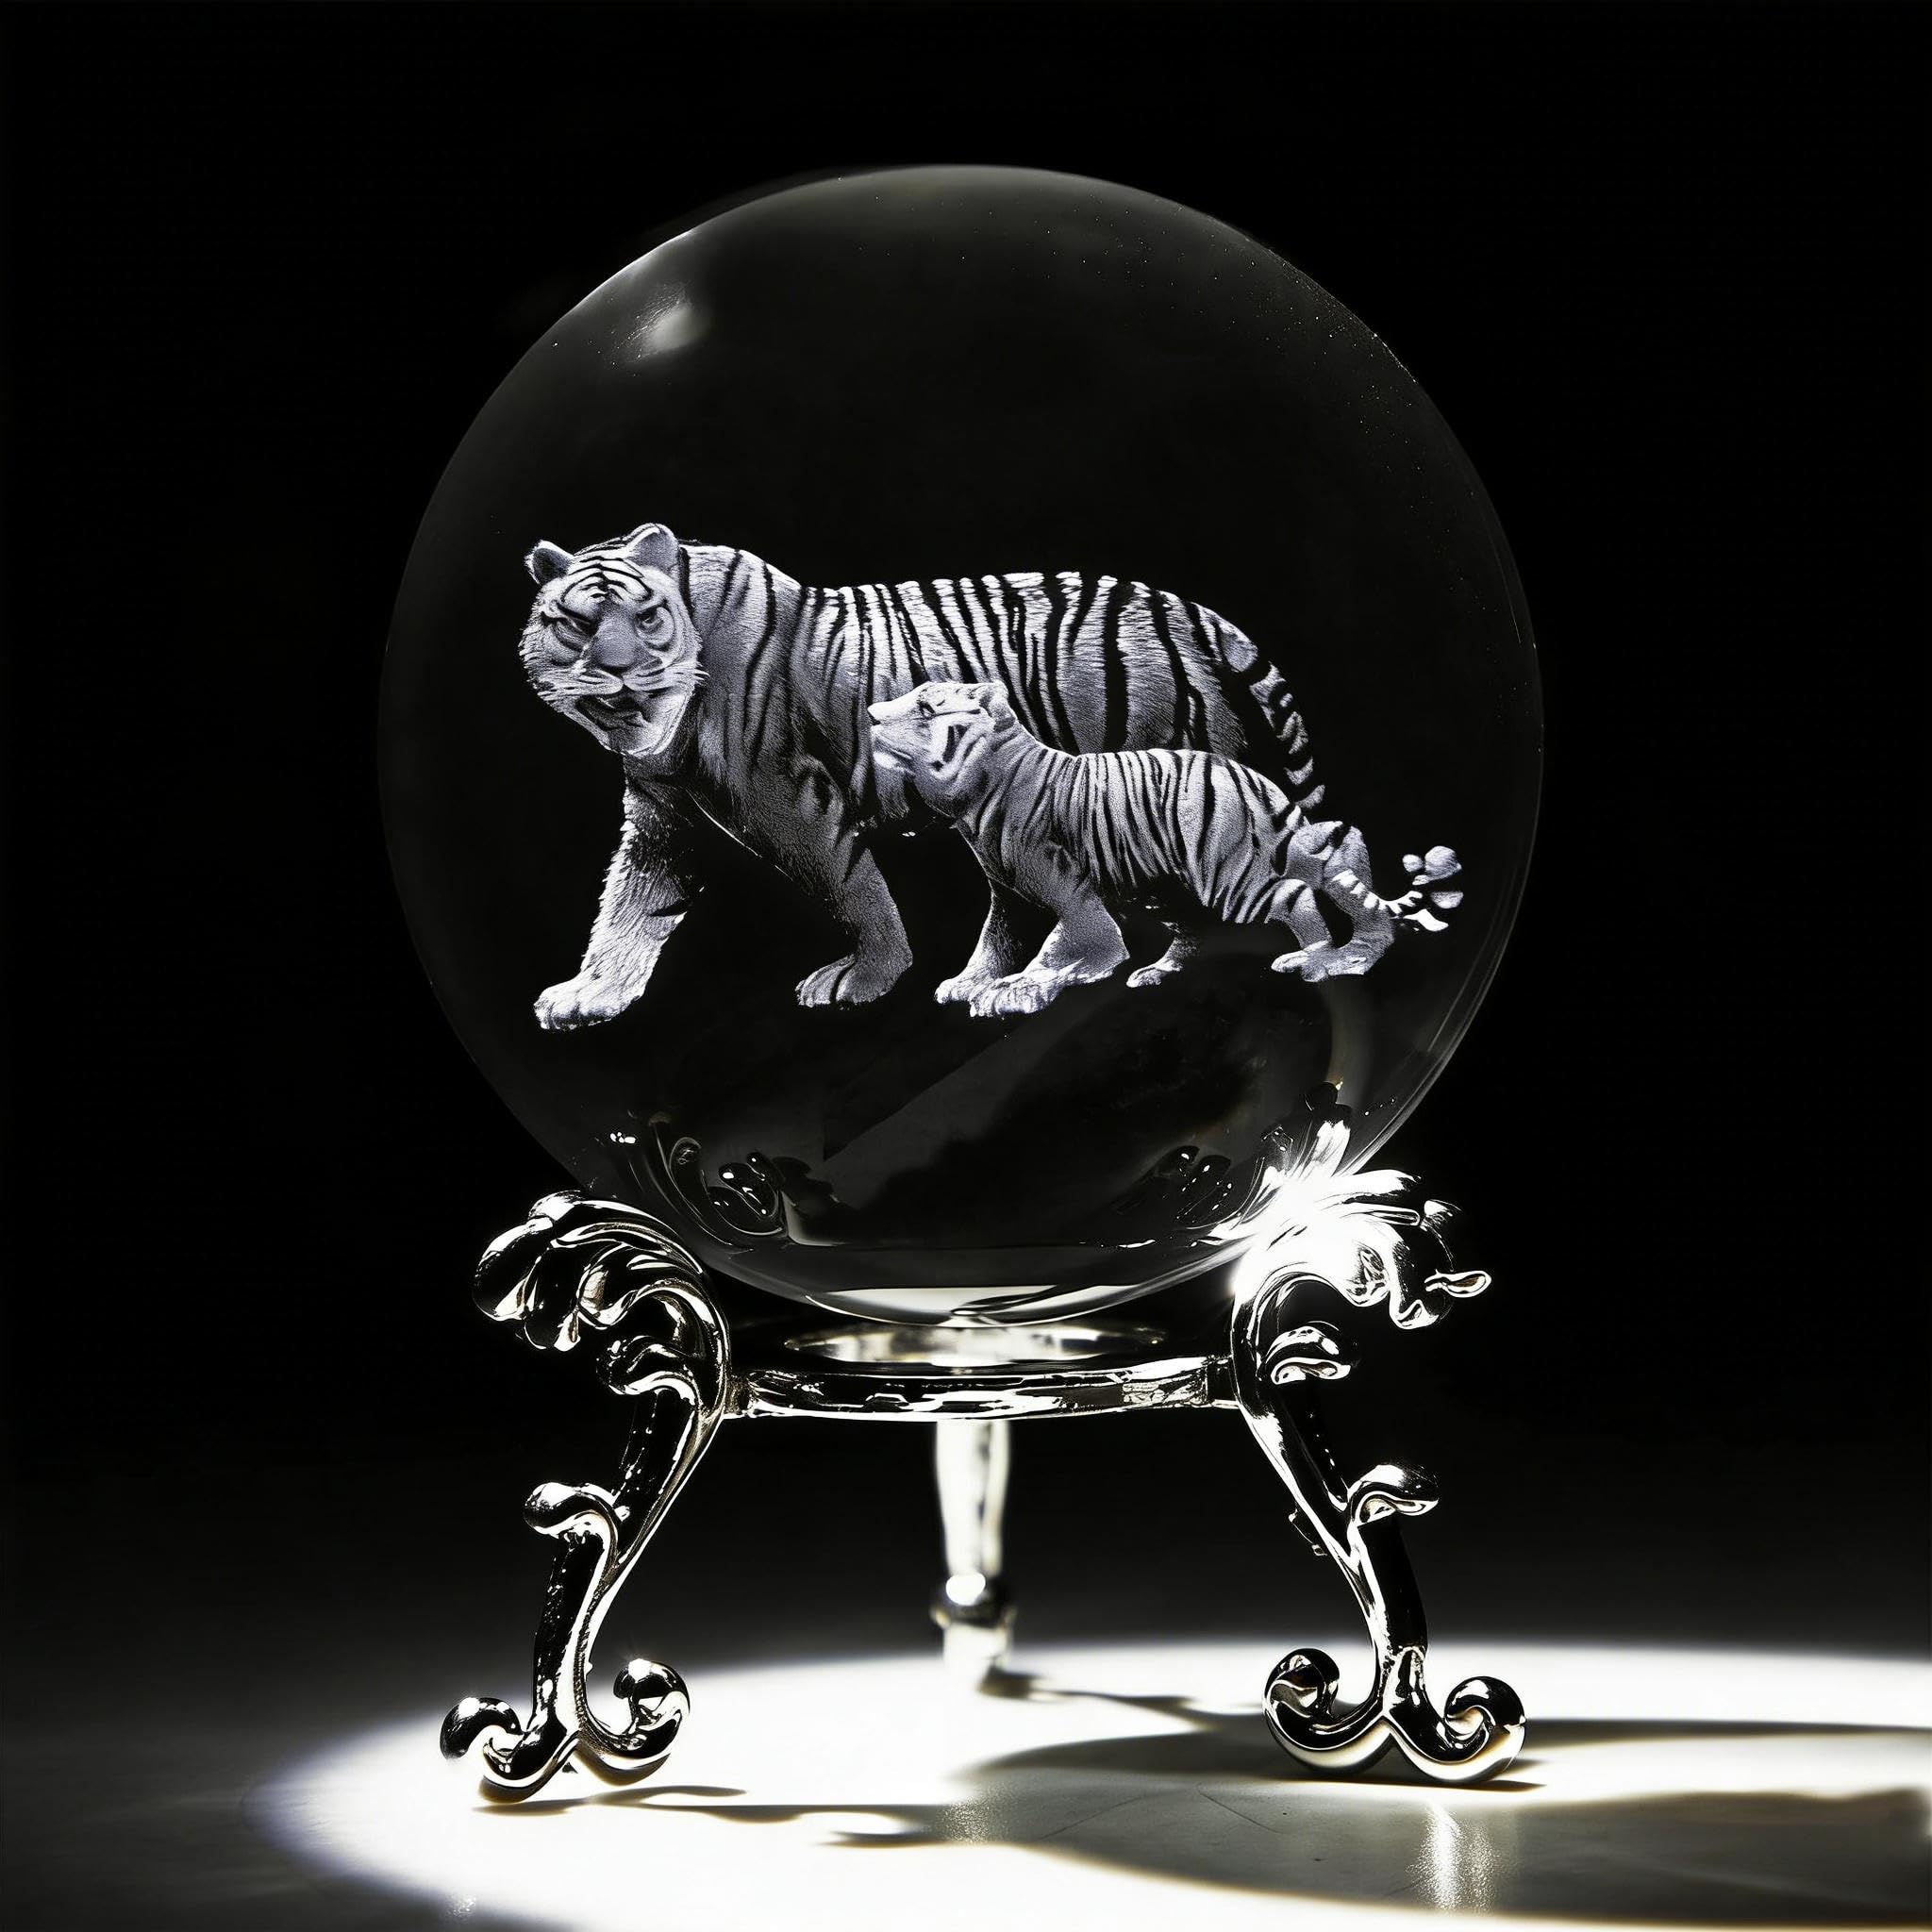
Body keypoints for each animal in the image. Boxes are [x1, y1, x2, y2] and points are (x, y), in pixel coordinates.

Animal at [520, 522, 1339, 1029]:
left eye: (646, 616)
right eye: (580, 624)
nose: (619, 671)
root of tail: (1193, 612)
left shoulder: (788, 799)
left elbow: (852, 888)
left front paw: (864, 980)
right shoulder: (665, 816)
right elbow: (628, 907)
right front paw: (588, 995)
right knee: (1028, 899)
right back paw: (992, 979)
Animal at [866, 680, 1462, 1019]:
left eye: (925, 708)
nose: (869, 715)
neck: (977, 795)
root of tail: (1252, 778)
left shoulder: (1072, 896)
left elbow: (1068, 947)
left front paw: (1015, 992)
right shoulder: (1008, 897)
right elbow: (990, 946)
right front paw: (966, 985)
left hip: (1228, 875)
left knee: (1298, 894)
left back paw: (1317, 961)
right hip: (1170, 884)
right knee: (1341, 848)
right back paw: (1355, 955)